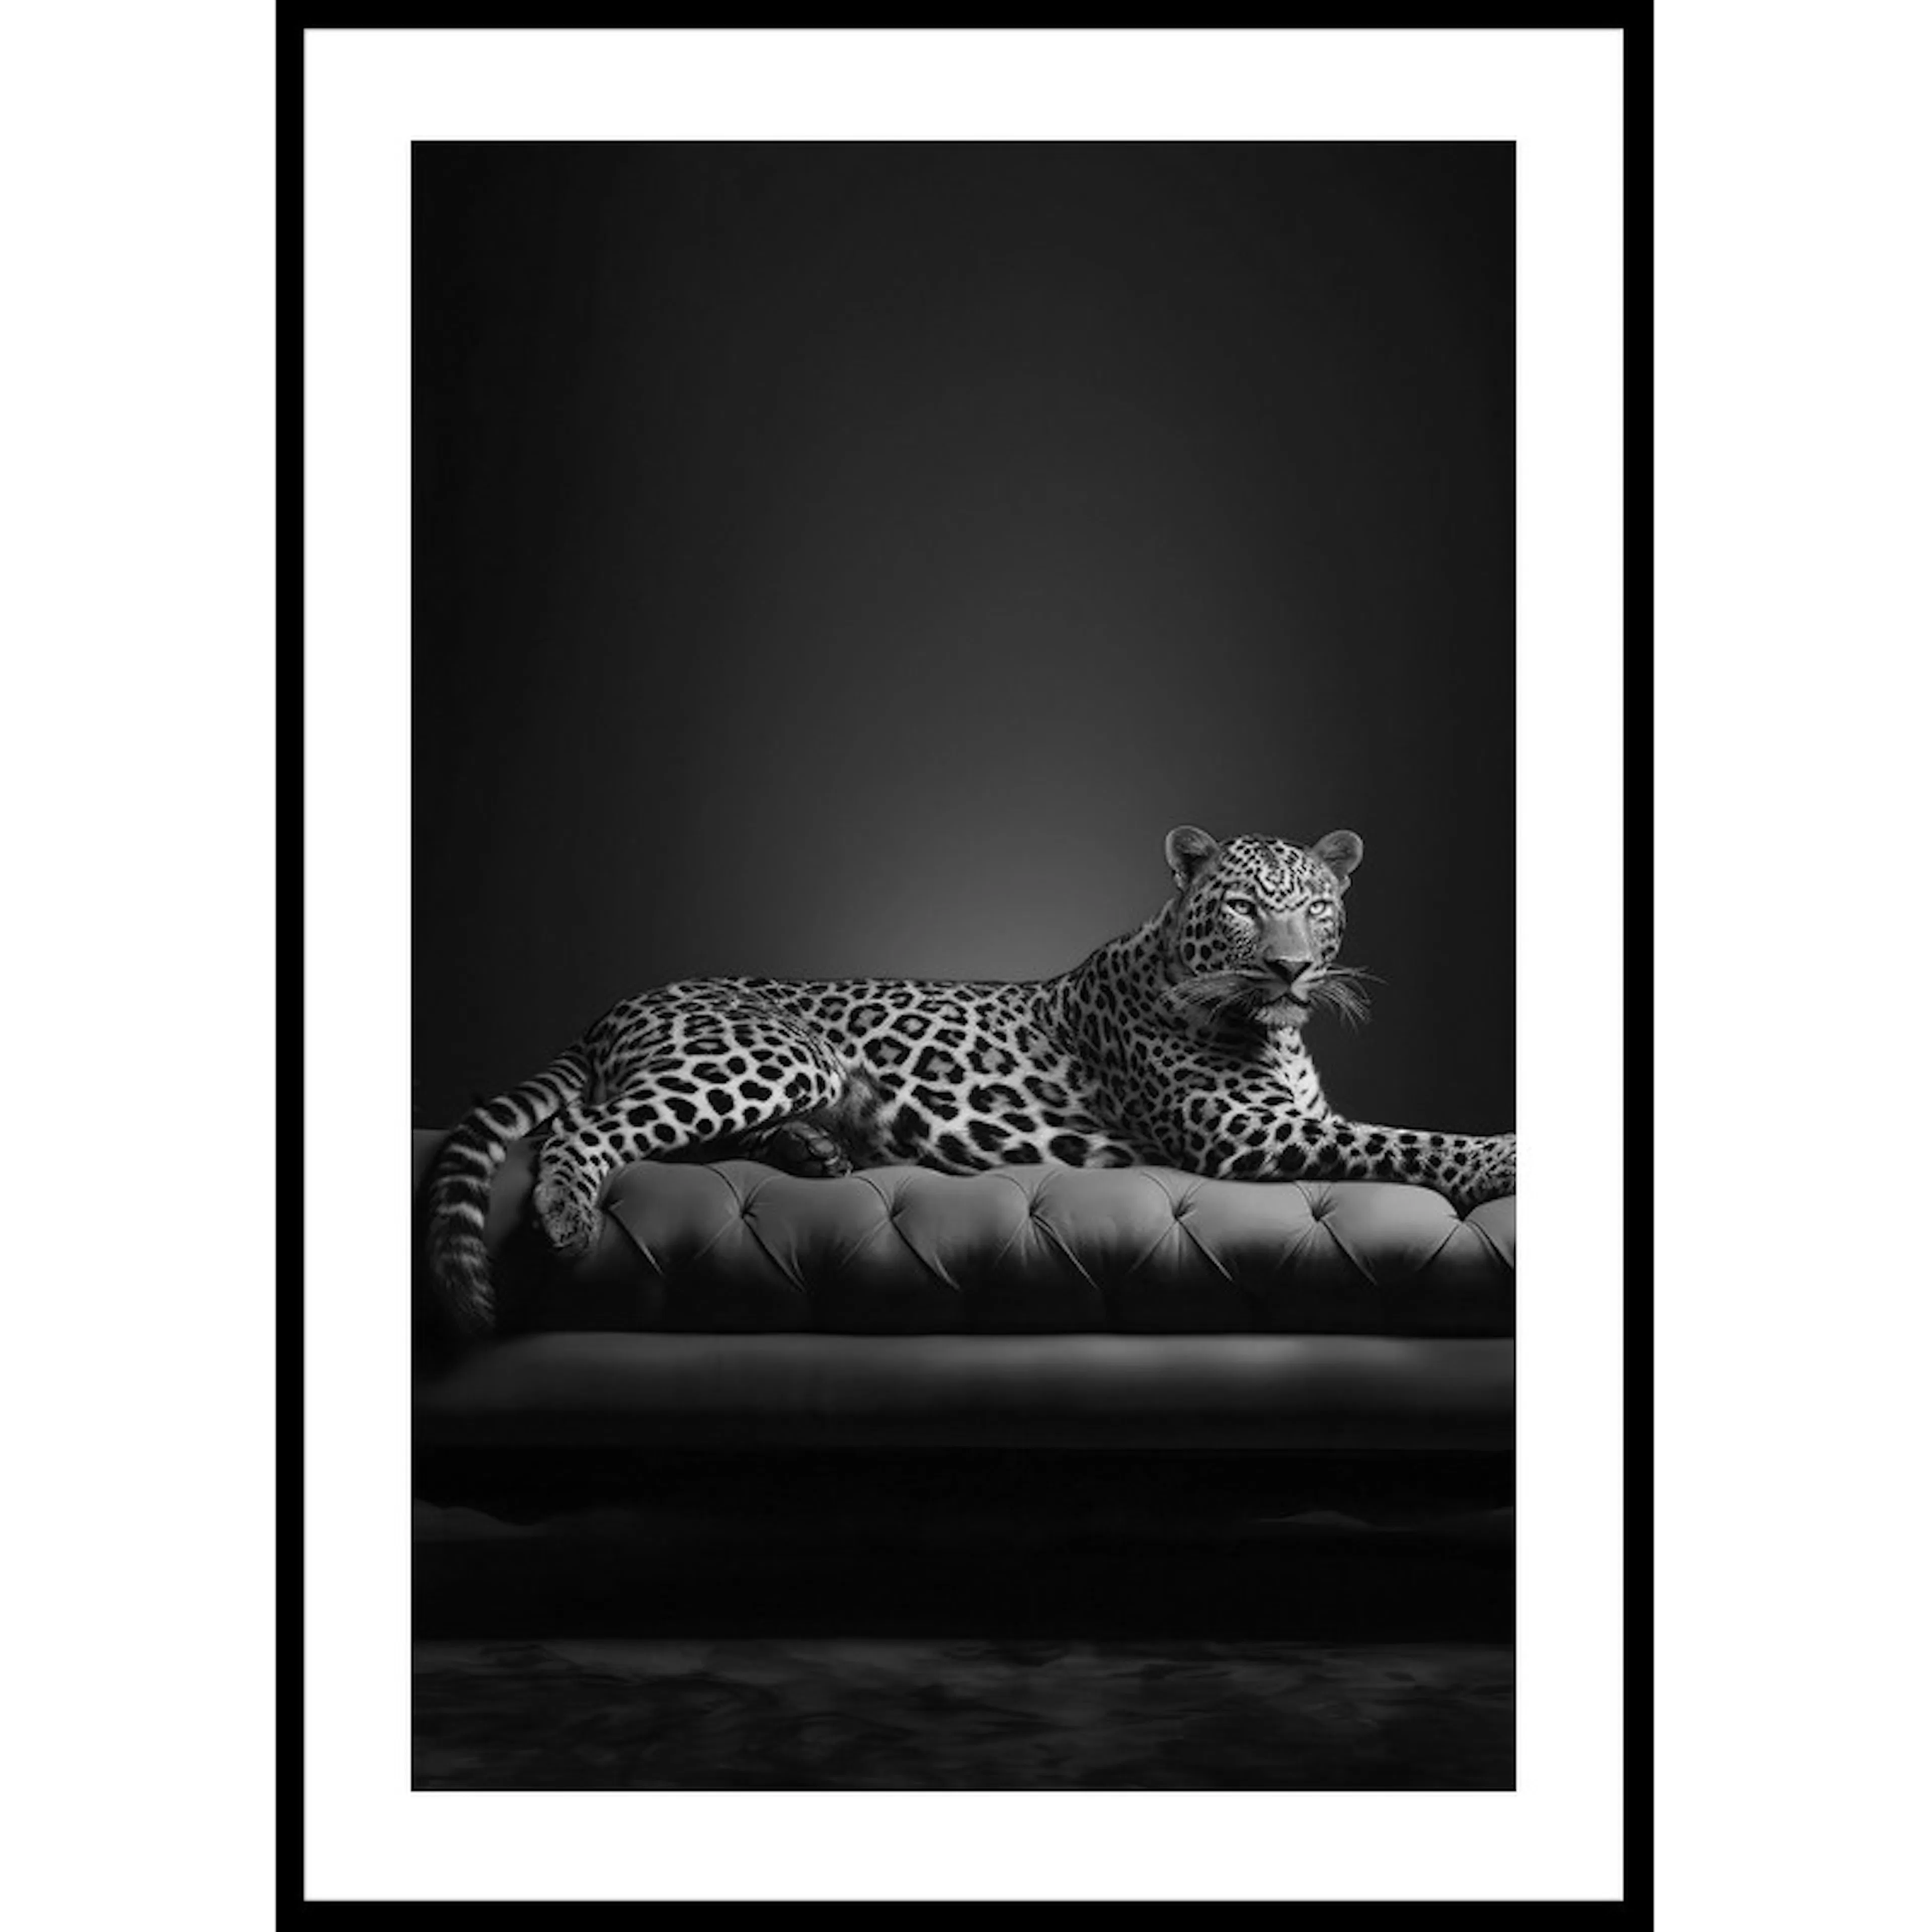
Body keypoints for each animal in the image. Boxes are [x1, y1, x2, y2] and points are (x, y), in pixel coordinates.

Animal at [423, 824, 1516, 1337]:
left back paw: (815, 1150)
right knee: (589, 1131)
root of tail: (615, 1006)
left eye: (1317, 907)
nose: (1292, 969)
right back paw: (568, 1214)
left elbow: (1392, 1130)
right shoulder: (1244, 1132)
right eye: (1246, 908)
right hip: (770, 1053)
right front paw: (1505, 1156)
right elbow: (1406, 1139)